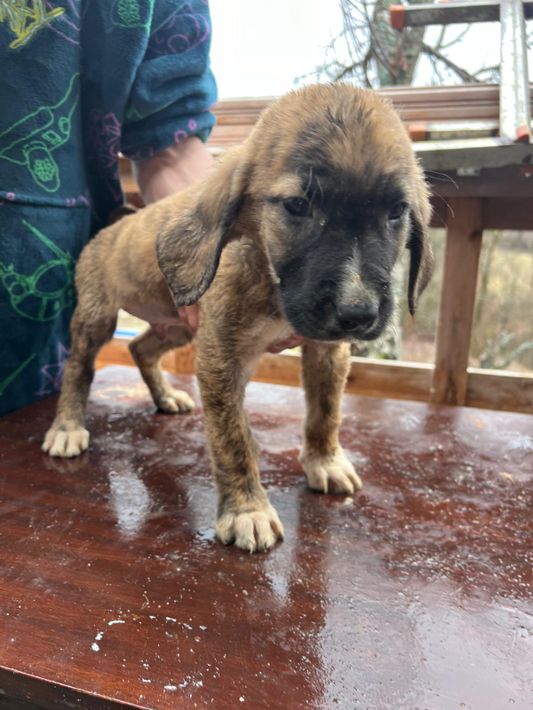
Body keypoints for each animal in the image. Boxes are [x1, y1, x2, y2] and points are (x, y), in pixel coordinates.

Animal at [42, 83, 433, 553]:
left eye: (396, 212)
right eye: (297, 206)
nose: (357, 313)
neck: (269, 275)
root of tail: (109, 231)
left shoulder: (326, 349)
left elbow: (326, 411)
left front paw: (324, 460)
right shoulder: (222, 357)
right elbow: (232, 440)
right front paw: (247, 509)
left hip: (178, 326)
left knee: (140, 347)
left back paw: (165, 397)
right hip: (98, 317)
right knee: (78, 368)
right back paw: (67, 425)